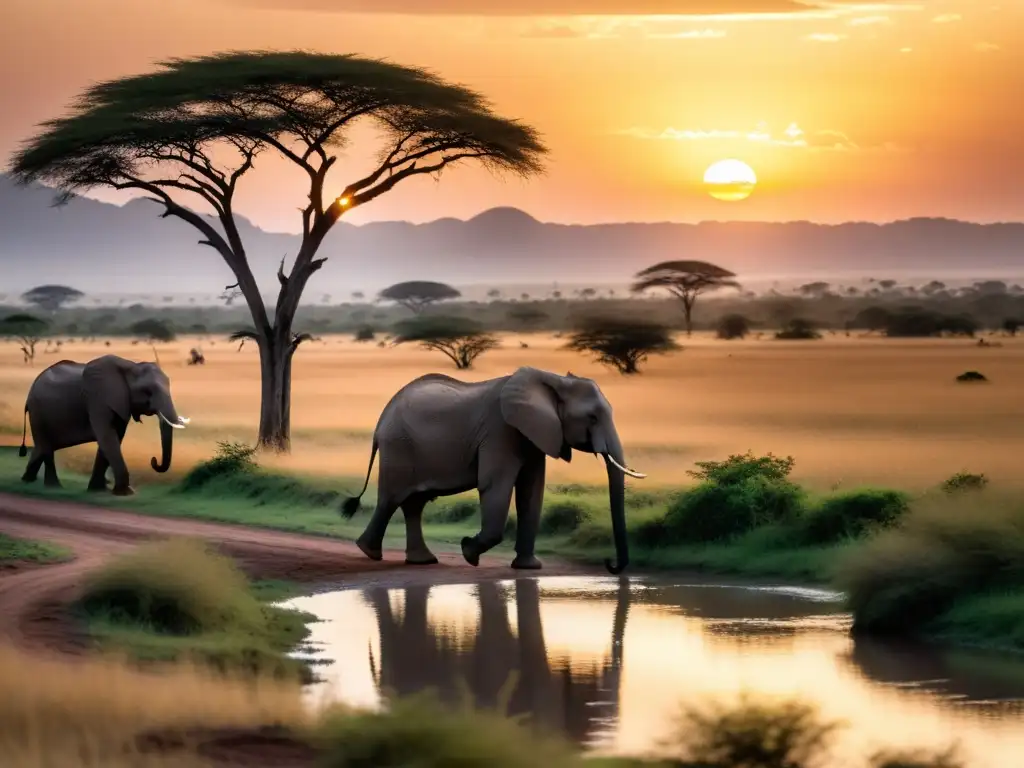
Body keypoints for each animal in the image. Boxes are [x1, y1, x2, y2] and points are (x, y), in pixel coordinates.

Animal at [18, 354, 191, 493]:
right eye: (147, 391)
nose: (153, 460)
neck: (130, 366)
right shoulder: (97, 400)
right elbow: (107, 437)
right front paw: (126, 492)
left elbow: (114, 438)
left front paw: (98, 490)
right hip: (38, 412)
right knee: (46, 447)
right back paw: (52, 487)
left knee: (41, 448)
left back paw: (27, 481)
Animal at [339, 368, 643, 577]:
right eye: (592, 418)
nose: (609, 564)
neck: (553, 380)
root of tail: (381, 420)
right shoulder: (501, 431)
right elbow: (495, 485)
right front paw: (468, 552)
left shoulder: (533, 434)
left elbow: (532, 491)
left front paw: (528, 568)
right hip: (399, 447)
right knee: (391, 499)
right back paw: (370, 552)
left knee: (414, 504)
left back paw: (422, 560)